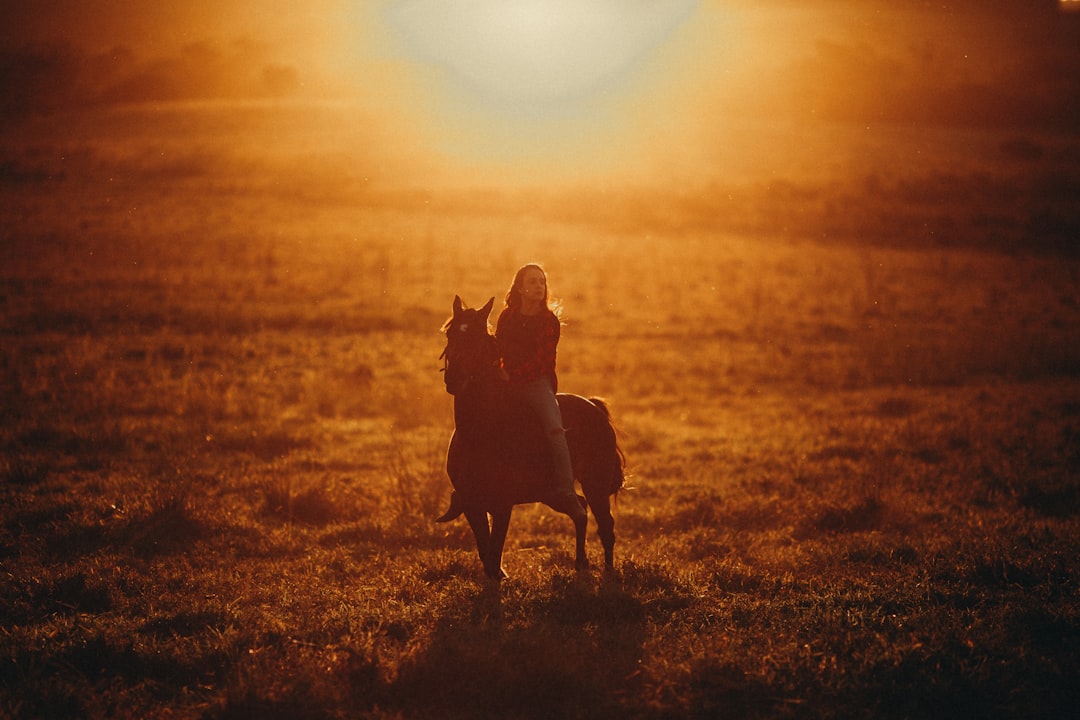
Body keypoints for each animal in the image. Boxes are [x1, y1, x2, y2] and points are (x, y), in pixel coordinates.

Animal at [436, 293, 626, 578]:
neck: (482, 431)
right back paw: (580, 563)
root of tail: (595, 407)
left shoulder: (502, 505)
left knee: (605, 525)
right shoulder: (472, 504)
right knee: (580, 510)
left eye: (479, 336)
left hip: (596, 484)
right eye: (450, 333)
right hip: (553, 494)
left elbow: (494, 553)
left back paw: (608, 572)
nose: (454, 378)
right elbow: (485, 552)